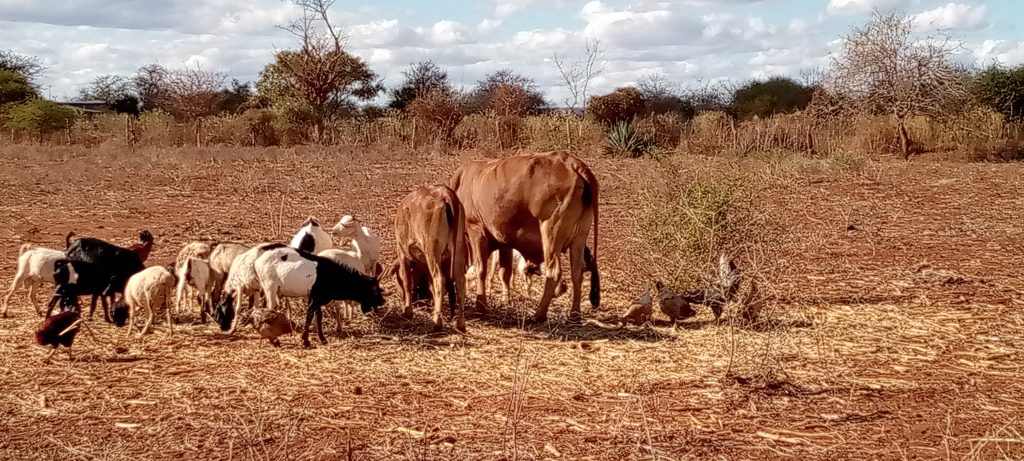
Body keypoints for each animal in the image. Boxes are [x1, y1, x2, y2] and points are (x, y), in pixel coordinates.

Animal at [253, 246, 385, 348]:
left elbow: (318, 318)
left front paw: (322, 339)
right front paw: (306, 341)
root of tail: (258, 261)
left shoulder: (318, 300)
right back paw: (273, 340)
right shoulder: (314, 298)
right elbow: (310, 317)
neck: (331, 274)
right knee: (269, 309)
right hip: (270, 288)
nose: (382, 301)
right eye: (374, 290)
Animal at [393, 183, 468, 331]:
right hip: (458, 249)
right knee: (460, 280)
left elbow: (407, 281)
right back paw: (460, 323)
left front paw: (407, 311)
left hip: (432, 248)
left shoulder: (403, 253)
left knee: (439, 280)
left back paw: (436, 322)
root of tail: (445, 194)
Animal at [450, 149, 598, 321]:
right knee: (577, 272)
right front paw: (505, 300)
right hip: (580, 236)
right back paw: (574, 314)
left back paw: (539, 314)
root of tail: (572, 163)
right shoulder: (504, 242)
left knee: (553, 272)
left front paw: (481, 306)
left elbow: (481, 269)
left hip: (551, 233)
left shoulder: (476, 230)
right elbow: (505, 273)